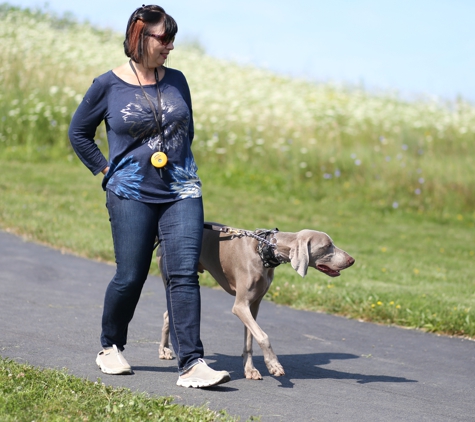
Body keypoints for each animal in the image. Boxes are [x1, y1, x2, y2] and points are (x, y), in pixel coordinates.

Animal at [158, 223, 356, 380]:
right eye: (327, 246)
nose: (352, 260)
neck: (265, 250)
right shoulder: (240, 306)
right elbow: (263, 336)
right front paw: (273, 364)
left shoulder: (253, 305)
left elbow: (250, 340)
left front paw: (250, 369)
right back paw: (163, 350)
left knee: (168, 313)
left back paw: (165, 349)